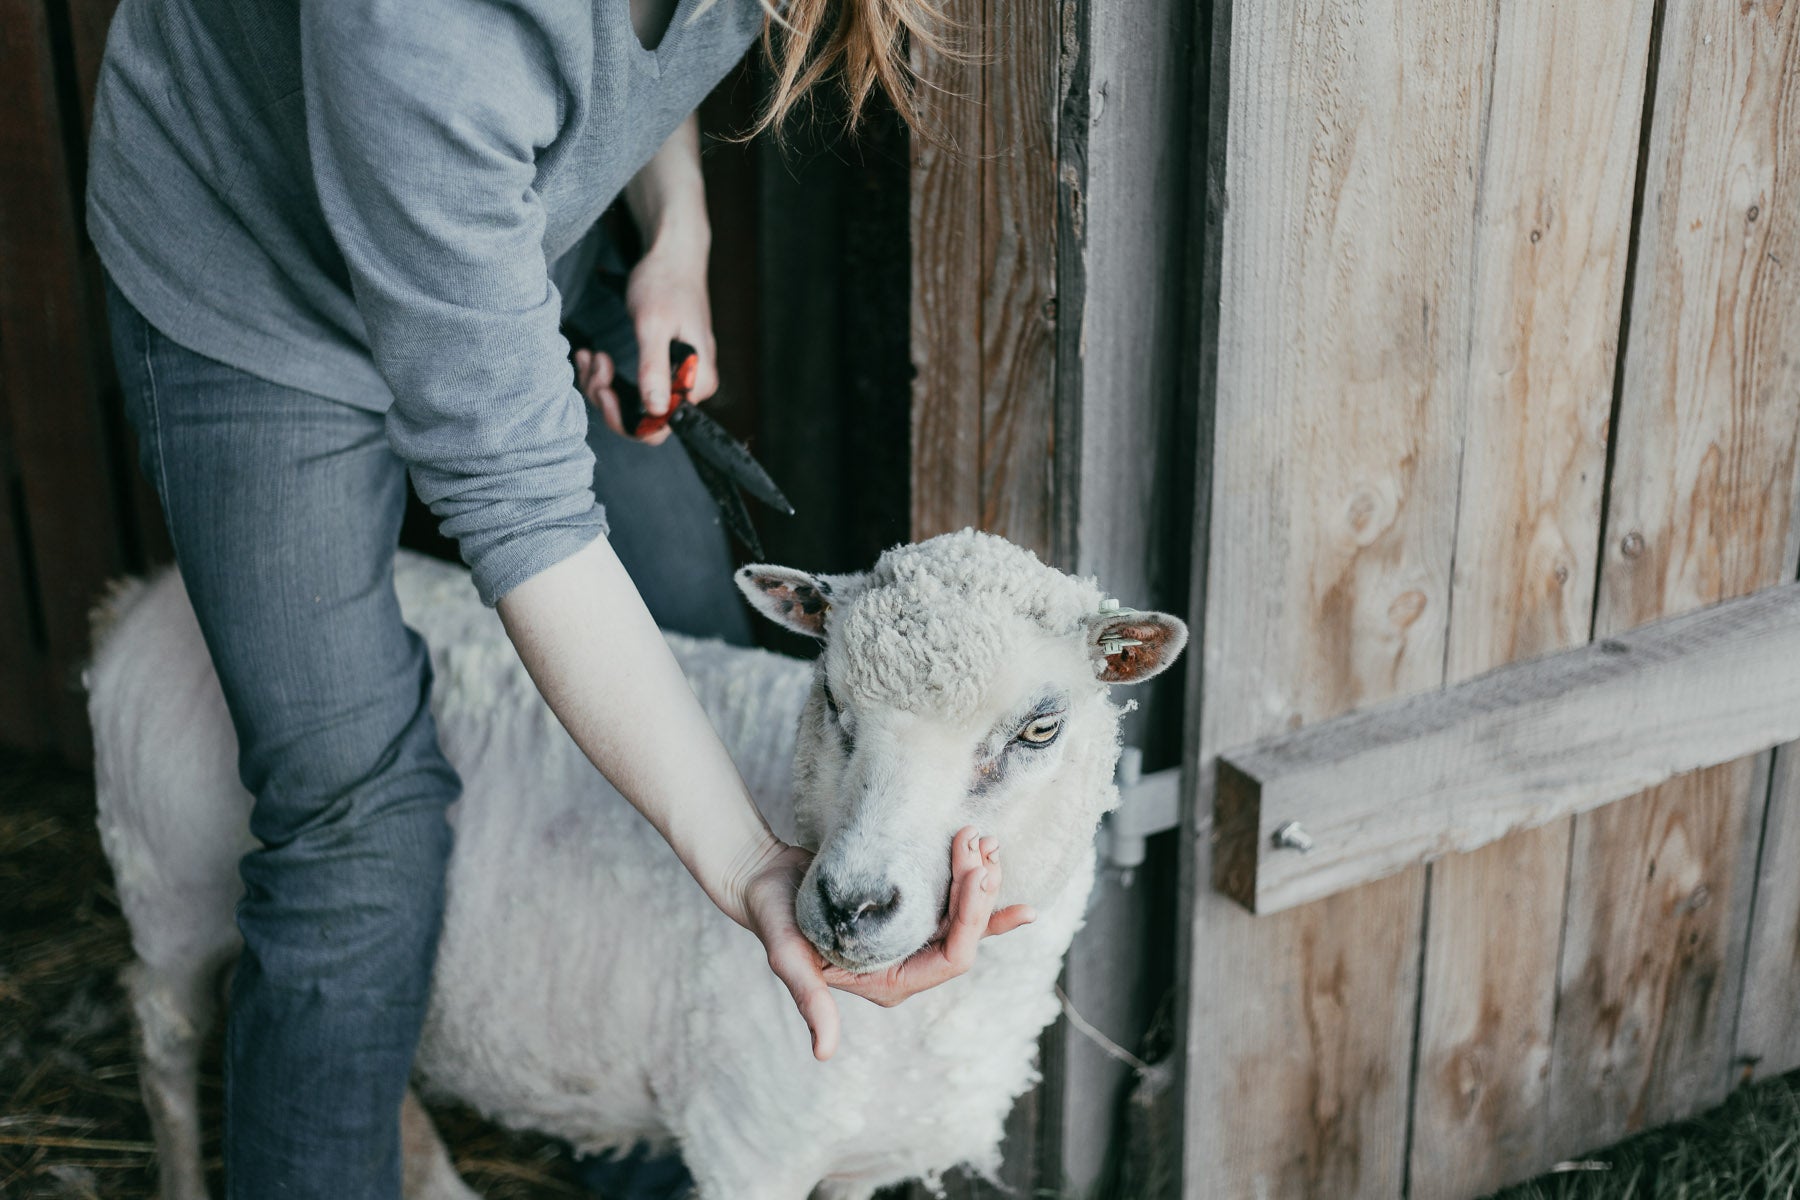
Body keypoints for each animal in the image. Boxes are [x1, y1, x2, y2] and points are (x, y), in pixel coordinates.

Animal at [84, 528, 1188, 1194]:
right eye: (832, 698)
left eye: (1040, 729)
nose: (849, 904)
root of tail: (143, 596)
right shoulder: (748, 1147)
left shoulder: (854, 1158)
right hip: (171, 882)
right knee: (161, 1024)